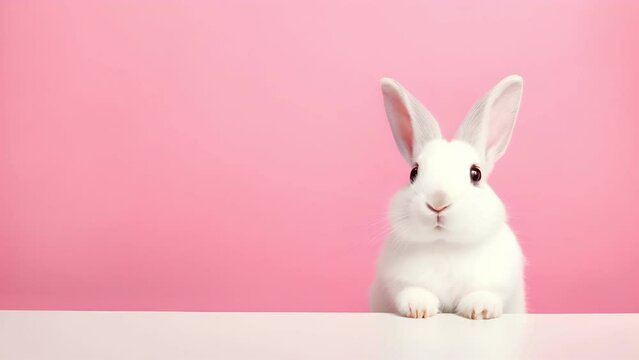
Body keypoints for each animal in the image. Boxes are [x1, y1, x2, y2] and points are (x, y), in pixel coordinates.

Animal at [370, 74, 524, 320]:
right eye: (413, 172)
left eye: (475, 174)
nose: (438, 201)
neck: (445, 244)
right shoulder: (399, 282)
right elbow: (411, 291)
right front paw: (418, 309)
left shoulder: (498, 283)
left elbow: (486, 293)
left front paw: (480, 309)